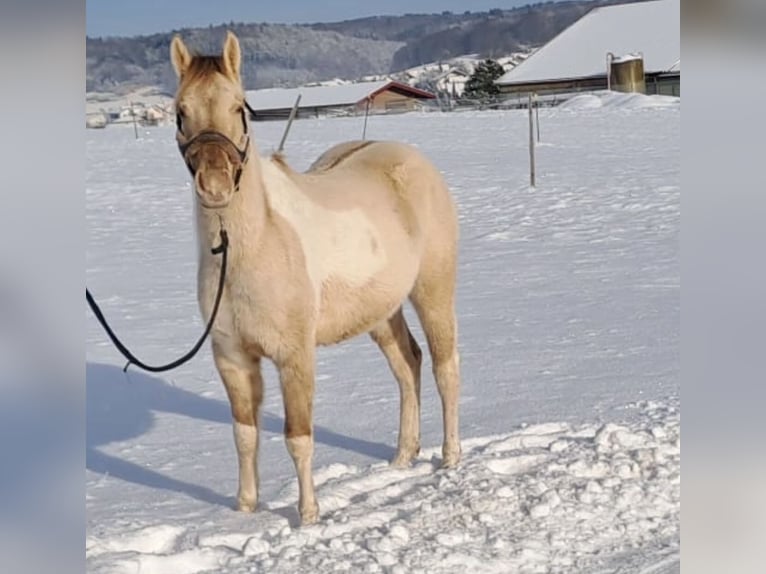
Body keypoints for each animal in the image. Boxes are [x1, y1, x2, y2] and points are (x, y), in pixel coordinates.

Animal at [170, 31, 461, 525]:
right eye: (180, 111)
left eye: (239, 107)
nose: (215, 186)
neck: (251, 248)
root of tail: (408, 157)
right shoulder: (232, 358)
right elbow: (244, 434)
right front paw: (244, 509)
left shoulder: (294, 356)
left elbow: (297, 437)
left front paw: (307, 515)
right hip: (381, 313)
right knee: (408, 366)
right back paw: (403, 456)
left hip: (433, 293)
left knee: (445, 368)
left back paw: (450, 456)